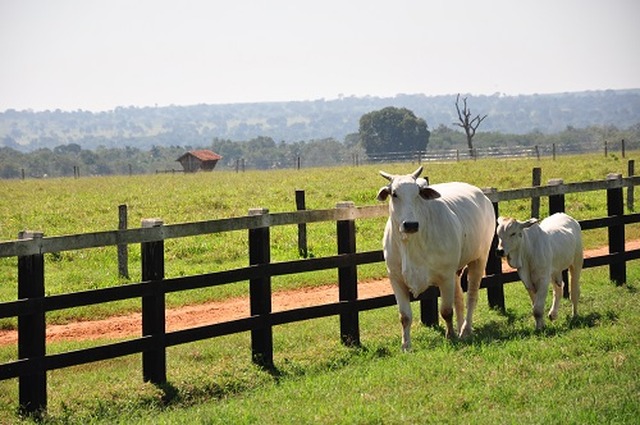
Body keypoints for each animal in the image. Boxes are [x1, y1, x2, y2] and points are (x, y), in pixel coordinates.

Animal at [380, 166, 496, 348]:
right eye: (394, 193)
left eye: (418, 193)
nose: (410, 225)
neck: (410, 244)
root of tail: (482, 196)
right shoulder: (396, 280)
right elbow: (404, 316)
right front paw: (406, 345)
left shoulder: (445, 277)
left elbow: (446, 311)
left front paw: (450, 336)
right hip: (456, 271)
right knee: (459, 299)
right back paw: (460, 328)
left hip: (479, 259)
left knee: (471, 296)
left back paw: (465, 329)